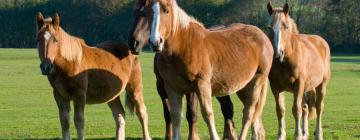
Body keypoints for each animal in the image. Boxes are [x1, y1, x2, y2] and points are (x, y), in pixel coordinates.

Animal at [129, 0, 272, 139]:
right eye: (147, 13)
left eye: (166, 11)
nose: (155, 42)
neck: (183, 47)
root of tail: (262, 36)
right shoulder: (172, 88)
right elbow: (176, 116)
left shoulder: (201, 85)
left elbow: (207, 114)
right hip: (243, 87)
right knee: (254, 115)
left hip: (257, 81)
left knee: (249, 113)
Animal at [266, 2, 330, 140]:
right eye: (269, 27)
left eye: (285, 27)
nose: (277, 54)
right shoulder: (276, 87)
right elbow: (280, 110)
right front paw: (281, 135)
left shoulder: (298, 84)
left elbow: (296, 110)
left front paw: (297, 135)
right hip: (307, 88)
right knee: (305, 108)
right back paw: (305, 134)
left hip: (321, 86)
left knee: (318, 108)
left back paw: (318, 134)